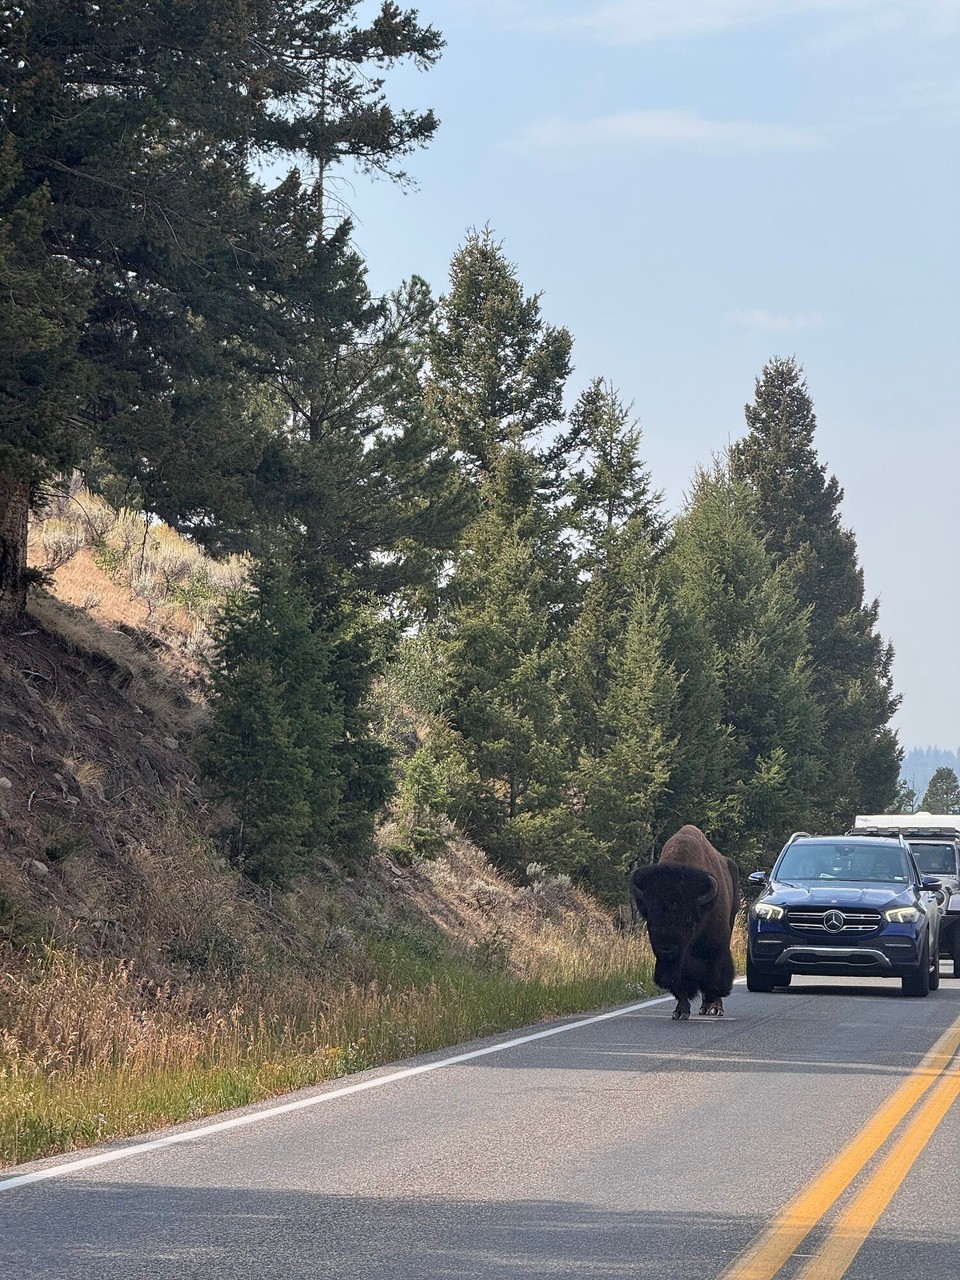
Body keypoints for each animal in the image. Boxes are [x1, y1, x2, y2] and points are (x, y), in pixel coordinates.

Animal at [629, 825, 740, 1020]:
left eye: (689, 920)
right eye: (651, 919)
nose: (667, 950)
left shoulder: (716, 946)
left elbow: (715, 977)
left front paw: (715, 1006)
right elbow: (679, 981)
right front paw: (680, 1012)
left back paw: (713, 1008)